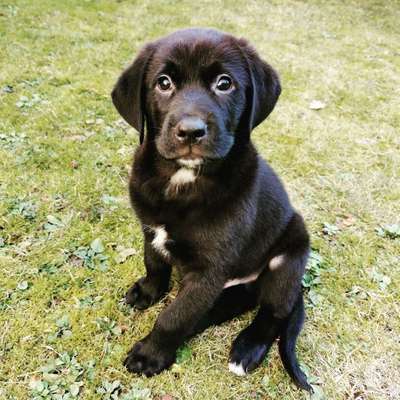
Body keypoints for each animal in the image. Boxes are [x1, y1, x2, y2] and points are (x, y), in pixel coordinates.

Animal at [111, 28, 312, 390]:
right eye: (163, 83)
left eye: (224, 83)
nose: (191, 131)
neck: (184, 178)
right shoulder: (150, 230)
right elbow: (155, 266)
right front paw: (148, 292)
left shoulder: (208, 271)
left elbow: (173, 316)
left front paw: (150, 355)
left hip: (289, 256)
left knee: (273, 313)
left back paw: (247, 349)